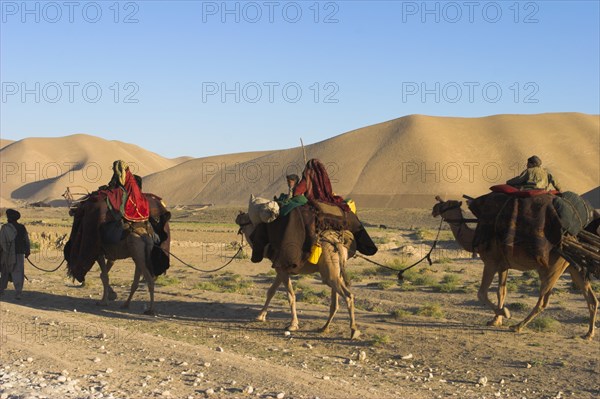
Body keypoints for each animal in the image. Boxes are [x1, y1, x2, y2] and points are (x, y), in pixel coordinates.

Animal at [236, 212, 360, 340]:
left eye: (246, 217)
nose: (238, 215)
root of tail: (337, 243)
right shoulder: (280, 270)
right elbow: (271, 291)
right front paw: (260, 316)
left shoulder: (283, 270)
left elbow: (290, 296)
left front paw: (293, 325)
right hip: (336, 270)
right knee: (335, 302)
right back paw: (324, 328)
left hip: (329, 270)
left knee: (348, 295)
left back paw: (353, 330)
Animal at [434, 198, 596, 340]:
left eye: (446, 204)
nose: (434, 208)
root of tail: (571, 239)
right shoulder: (503, 266)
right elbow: (501, 292)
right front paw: (495, 320)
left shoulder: (491, 262)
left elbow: (482, 293)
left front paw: (505, 313)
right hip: (573, 268)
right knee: (591, 299)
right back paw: (588, 334)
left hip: (551, 269)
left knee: (543, 301)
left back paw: (517, 326)